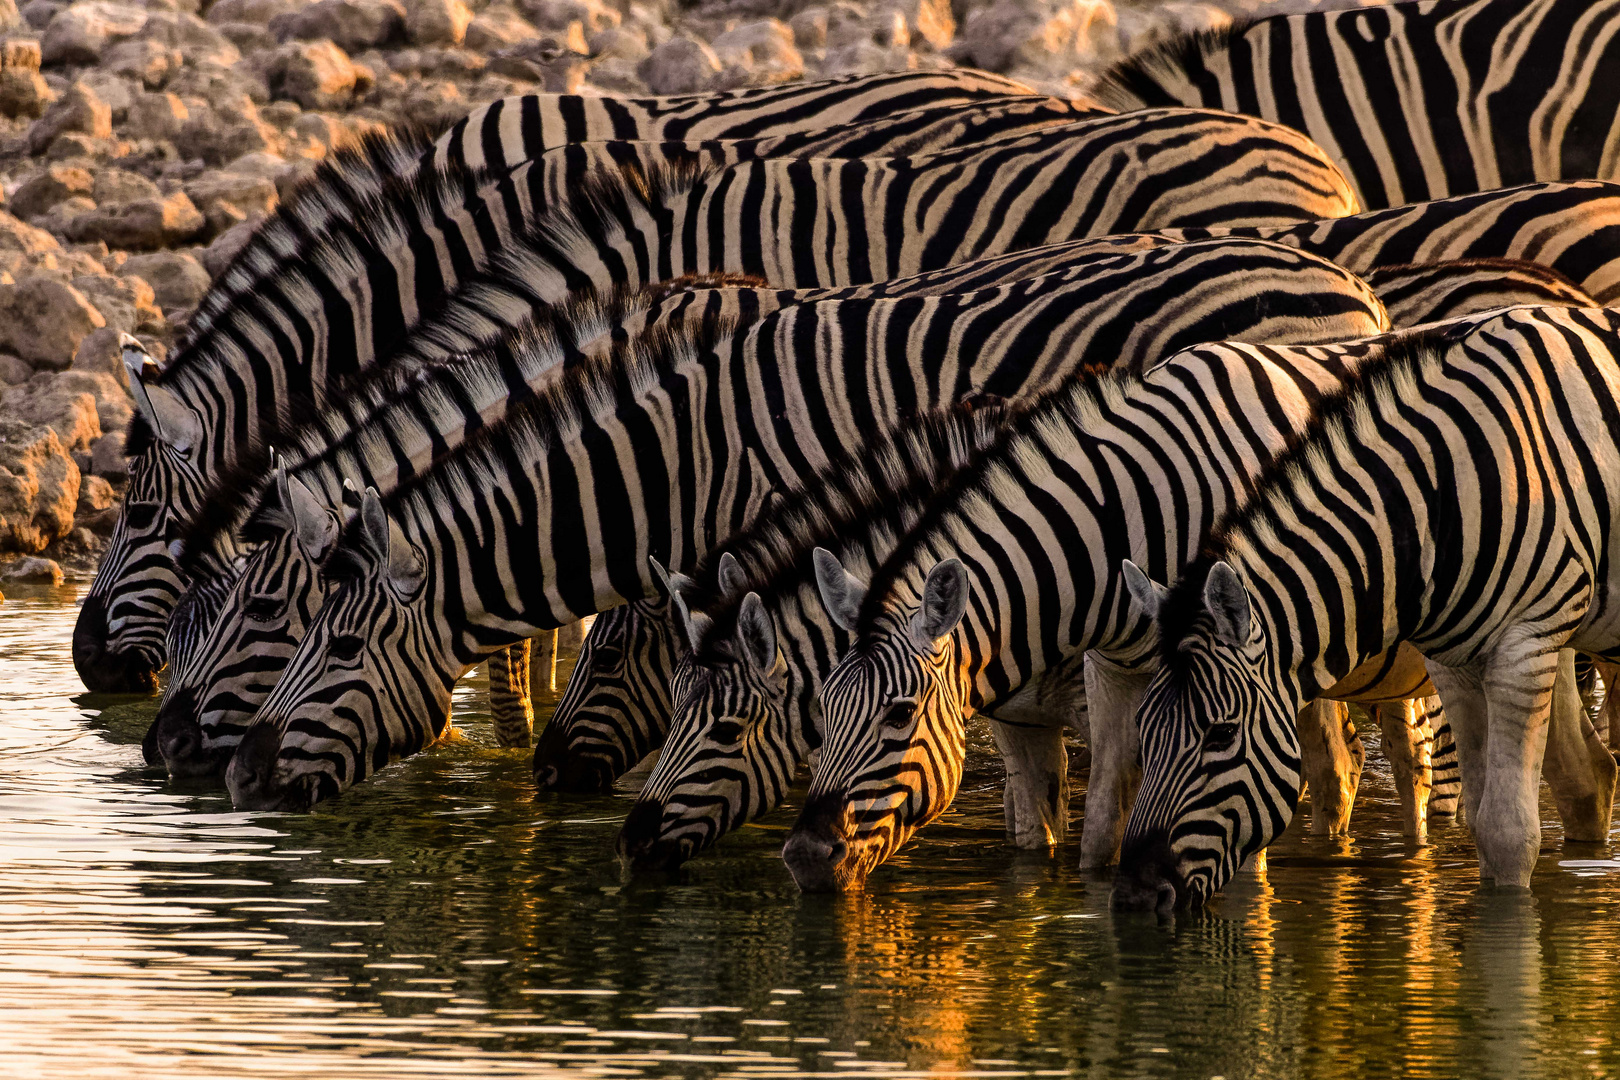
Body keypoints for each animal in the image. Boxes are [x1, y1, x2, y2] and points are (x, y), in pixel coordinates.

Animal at [1114, 306, 1620, 913]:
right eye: (1141, 728)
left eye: (1220, 734)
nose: (1135, 895)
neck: (1441, 492)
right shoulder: (1456, 660)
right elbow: (1482, 822)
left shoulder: (1526, 643)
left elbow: (1508, 830)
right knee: (1588, 774)